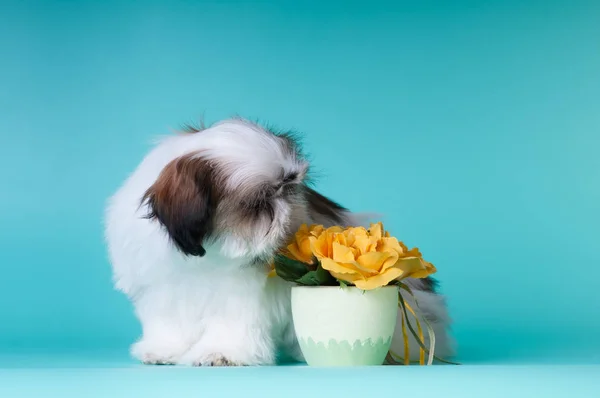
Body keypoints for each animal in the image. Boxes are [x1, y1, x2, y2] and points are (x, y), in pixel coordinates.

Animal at [104, 116, 454, 366]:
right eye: (257, 203)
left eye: (290, 185)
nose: (288, 203)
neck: (208, 255)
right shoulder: (163, 287)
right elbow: (169, 321)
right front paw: (163, 350)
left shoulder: (241, 294)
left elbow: (231, 321)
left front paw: (221, 353)